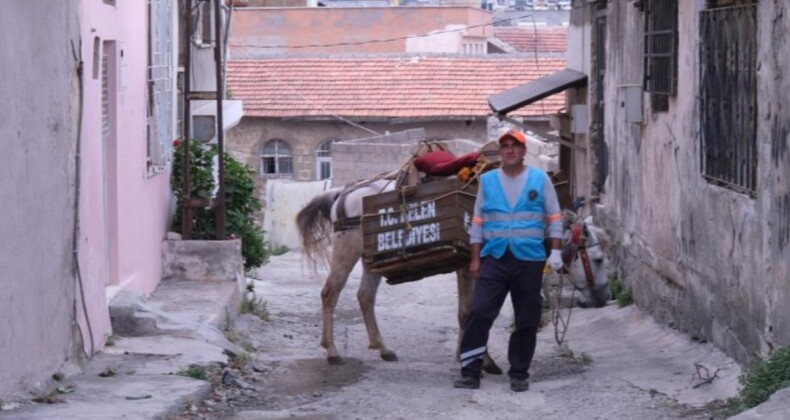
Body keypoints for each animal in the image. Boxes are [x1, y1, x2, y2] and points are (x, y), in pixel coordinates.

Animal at [294, 177, 504, 374]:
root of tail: (344, 191)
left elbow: (474, 311)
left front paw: (472, 357)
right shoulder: (469, 266)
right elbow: (469, 312)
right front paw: (477, 358)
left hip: (372, 260)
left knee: (365, 296)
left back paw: (382, 348)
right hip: (347, 250)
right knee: (330, 293)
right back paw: (332, 351)